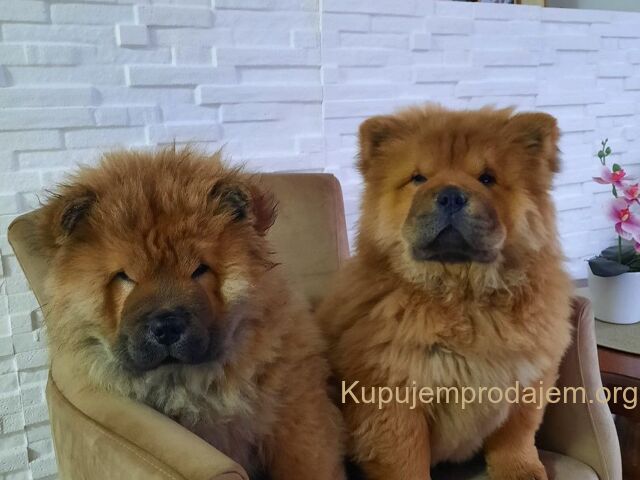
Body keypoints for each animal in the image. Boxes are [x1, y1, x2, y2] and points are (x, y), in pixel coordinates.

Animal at [317, 105, 573, 480]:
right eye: (418, 178)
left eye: (487, 178)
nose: (451, 195)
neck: (461, 293)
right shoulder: (393, 398)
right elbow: (406, 460)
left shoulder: (529, 378)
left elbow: (517, 435)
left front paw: (522, 471)